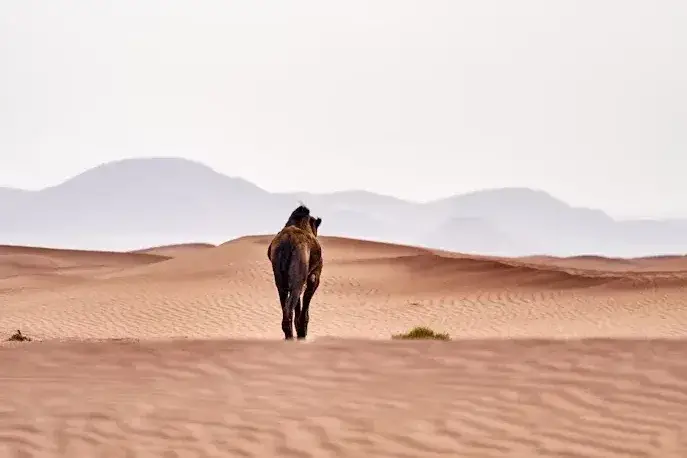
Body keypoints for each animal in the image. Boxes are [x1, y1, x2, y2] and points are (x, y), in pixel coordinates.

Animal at [267, 205, 323, 340]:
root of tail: (287, 242)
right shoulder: (314, 276)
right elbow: (306, 302)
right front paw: (302, 333)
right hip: (298, 275)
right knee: (289, 308)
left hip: (281, 280)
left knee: (285, 303)